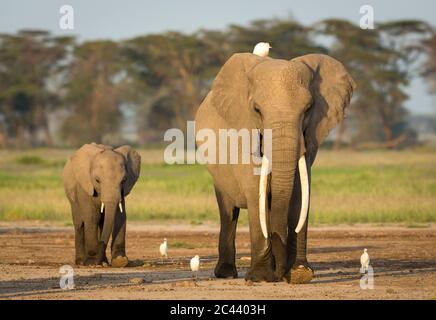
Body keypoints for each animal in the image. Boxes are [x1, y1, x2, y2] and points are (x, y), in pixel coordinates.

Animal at [196, 52, 356, 282]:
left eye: (308, 109)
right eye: (257, 110)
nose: (281, 274)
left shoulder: (309, 137)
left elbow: (300, 193)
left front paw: (299, 274)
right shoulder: (243, 133)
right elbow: (256, 190)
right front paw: (262, 277)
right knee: (228, 211)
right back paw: (226, 273)